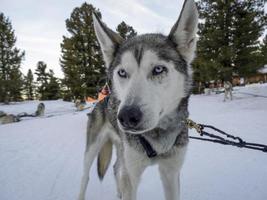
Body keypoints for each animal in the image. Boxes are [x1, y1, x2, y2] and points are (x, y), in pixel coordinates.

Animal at [77, 0, 199, 199]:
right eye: (122, 72)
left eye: (158, 69)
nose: (127, 116)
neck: (157, 138)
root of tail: (102, 99)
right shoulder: (131, 177)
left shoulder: (171, 173)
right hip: (92, 149)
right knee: (85, 177)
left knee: (116, 168)